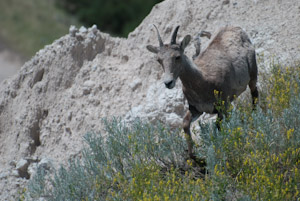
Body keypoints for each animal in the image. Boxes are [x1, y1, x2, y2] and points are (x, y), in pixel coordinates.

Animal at [147, 25, 258, 159]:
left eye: (177, 56)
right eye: (159, 60)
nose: (168, 82)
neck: (203, 81)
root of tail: (237, 28)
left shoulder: (223, 105)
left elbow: (219, 126)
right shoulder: (196, 109)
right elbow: (185, 124)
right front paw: (194, 157)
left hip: (253, 73)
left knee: (255, 94)